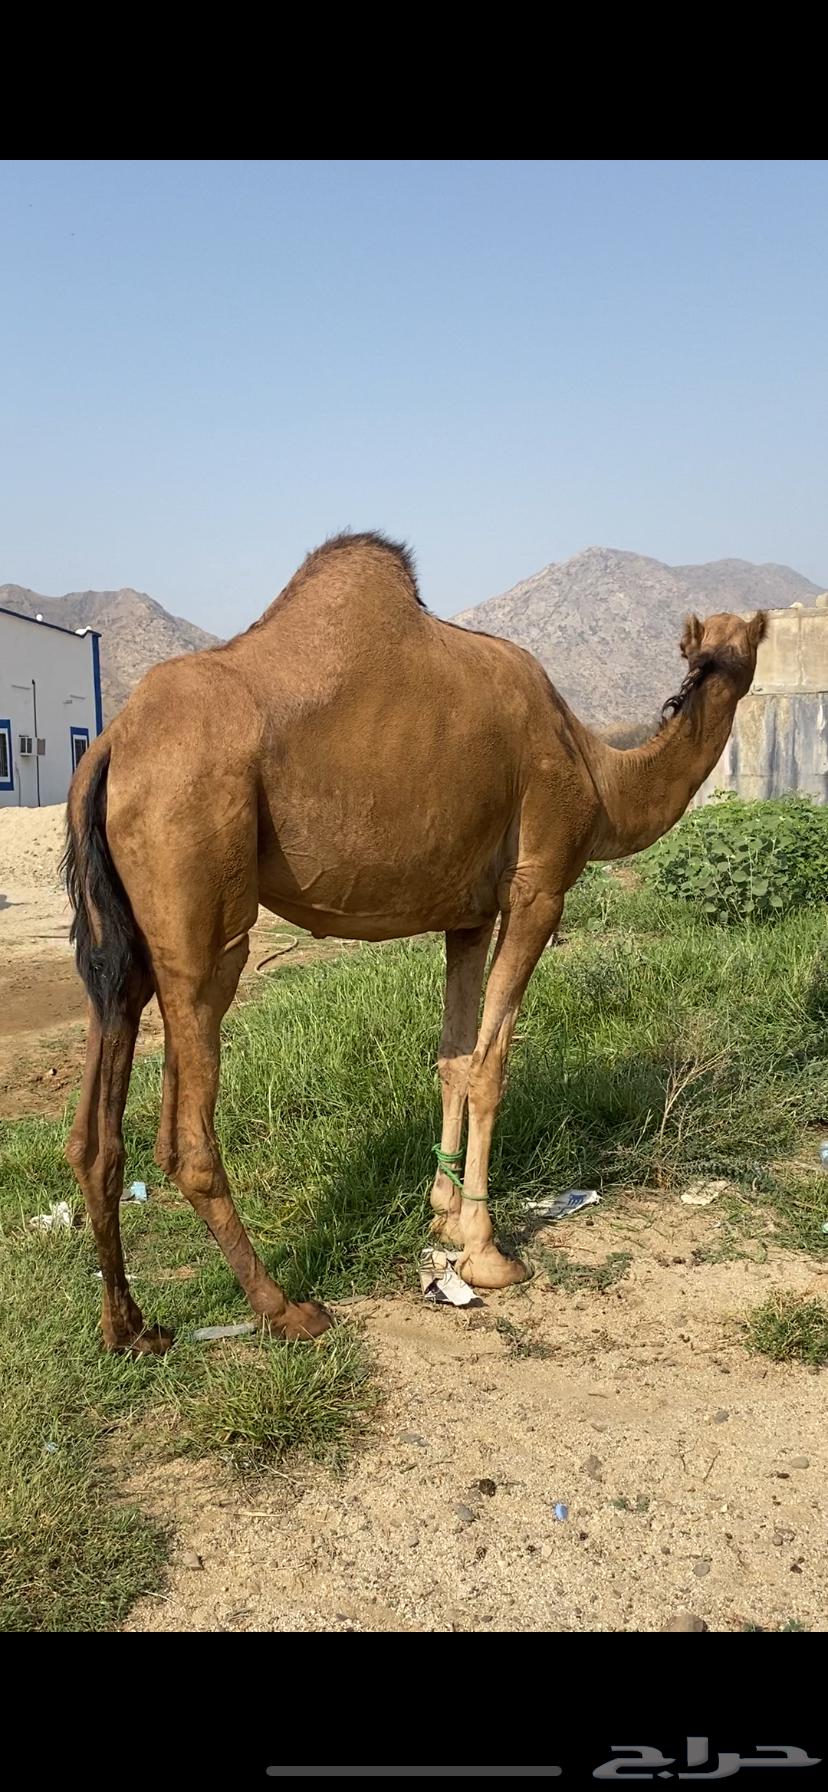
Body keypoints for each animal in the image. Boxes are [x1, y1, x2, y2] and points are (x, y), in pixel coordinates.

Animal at [63, 532, 767, 1352]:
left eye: (738, 641)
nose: (720, 662)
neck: (600, 778)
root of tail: (109, 743)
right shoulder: (540, 886)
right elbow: (492, 1065)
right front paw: (488, 1251)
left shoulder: (469, 912)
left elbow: (453, 1058)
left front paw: (443, 1213)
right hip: (201, 900)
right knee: (186, 1135)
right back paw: (285, 1309)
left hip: (122, 940)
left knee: (95, 1127)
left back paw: (130, 1329)